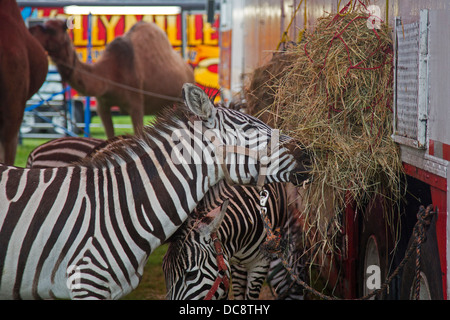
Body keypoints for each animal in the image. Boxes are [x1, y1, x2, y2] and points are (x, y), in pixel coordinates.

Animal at [29, 19, 195, 139]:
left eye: (50, 29)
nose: (30, 30)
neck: (110, 75)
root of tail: (188, 69)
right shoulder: (102, 105)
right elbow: (109, 136)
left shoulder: (136, 105)